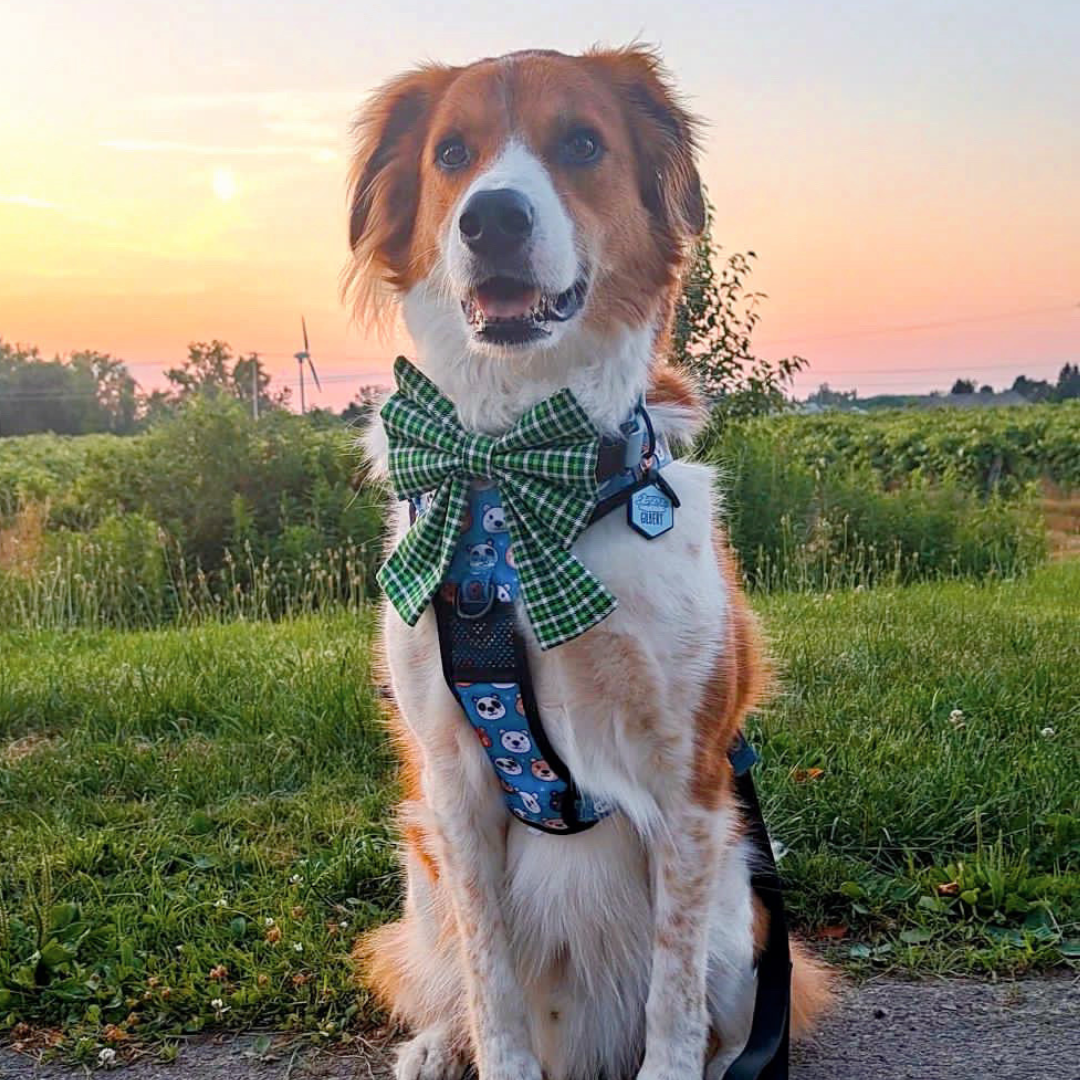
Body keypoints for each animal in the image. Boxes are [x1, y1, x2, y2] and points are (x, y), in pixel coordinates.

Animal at [349, 46, 829, 1080]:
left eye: (581, 145)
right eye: (452, 154)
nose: (491, 217)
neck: (516, 474)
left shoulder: (688, 779)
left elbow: (673, 1002)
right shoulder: (453, 782)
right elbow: (492, 991)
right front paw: (484, 1050)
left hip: (742, 908)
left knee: (726, 1017)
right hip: (421, 868)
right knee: (455, 980)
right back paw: (436, 1046)